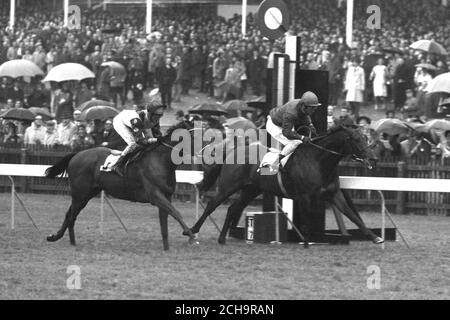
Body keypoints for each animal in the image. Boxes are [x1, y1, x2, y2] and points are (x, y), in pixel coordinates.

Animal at [45, 120, 197, 250]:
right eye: (194, 135)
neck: (160, 161)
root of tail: (76, 154)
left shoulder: (166, 196)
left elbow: (165, 222)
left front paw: (167, 247)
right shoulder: (156, 196)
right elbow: (176, 213)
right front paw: (191, 237)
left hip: (86, 194)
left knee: (70, 214)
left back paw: (61, 239)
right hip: (80, 194)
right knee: (71, 215)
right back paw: (65, 240)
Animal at [186, 125, 384, 245]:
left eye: (366, 138)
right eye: (356, 140)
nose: (374, 158)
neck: (319, 162)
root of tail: (232, 150)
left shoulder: (334, 195)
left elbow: (353, 215)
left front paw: (375, 237)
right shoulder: (305, 196)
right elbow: (306, 220)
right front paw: (306, 241)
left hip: (250, 189)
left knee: (233, 208)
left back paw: (221, 238)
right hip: (228, 186)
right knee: (212, 205)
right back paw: (191, 231)